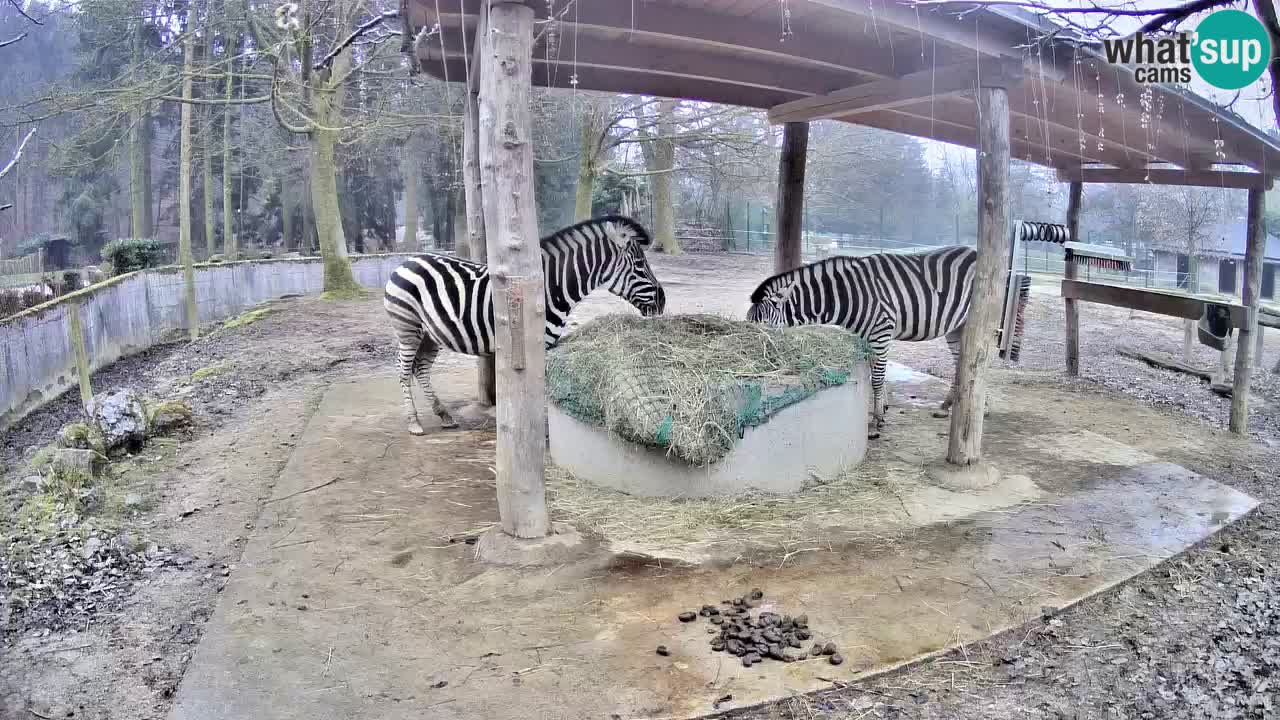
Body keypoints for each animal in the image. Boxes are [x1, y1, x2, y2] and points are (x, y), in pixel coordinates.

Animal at [381, 212, 665, 435]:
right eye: (640, 265)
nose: (663, 301)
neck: (551, 287)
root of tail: (406, 261)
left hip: (430, 334)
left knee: (421, 370)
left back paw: (444, 415)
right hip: (408, 329)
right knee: (404, 371)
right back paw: (414, 422)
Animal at [742, 245, 977, 435]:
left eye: (763, 327)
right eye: (747, 323)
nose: (750, 359)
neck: (846, 295)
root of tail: (974, 251)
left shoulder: (881, 332)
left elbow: (877, 378)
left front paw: (876, 422)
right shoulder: (867, 337)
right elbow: (877, 373)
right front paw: (882, 410)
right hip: (956, 327)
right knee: (961, 364)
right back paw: (946, 406)